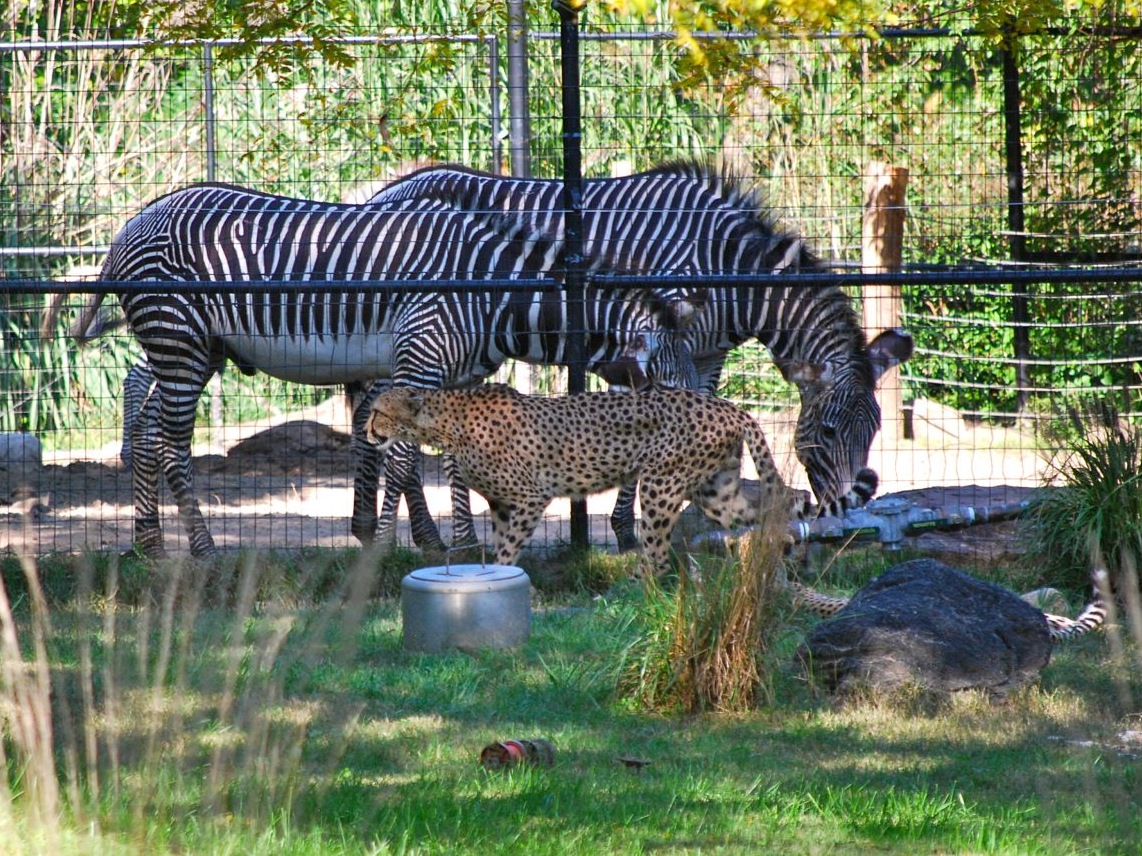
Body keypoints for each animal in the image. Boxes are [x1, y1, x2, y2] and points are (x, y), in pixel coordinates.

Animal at [80, 183, 694, 559]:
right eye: (668, 393)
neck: (491, 292)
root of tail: (133, 222)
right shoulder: (418, 358)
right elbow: (401, 462)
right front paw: (384, 547)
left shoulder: (454, 377)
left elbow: (449, 461)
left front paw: (460, 546)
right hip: (177, 340)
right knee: (169, 442)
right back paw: (204, 550)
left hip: (194, 350)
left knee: (148, 426)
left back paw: (150, 543)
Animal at [360, 160, 913, 550]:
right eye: (828, 431)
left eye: (874, 432)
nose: (846, 509)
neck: (727, 268)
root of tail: (388, 188)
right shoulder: (662, 336)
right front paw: (630, 527)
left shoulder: (706, 353)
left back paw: (404, 533)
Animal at [365, 385, 872, 579]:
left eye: (378, 412)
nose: (367, 430)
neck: (441, 423)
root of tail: (728, 405)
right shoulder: (503, 504)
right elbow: (498, 547)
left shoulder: (530, 497)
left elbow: (508, 549)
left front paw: (505, 575)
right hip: (715, 490)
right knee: (786, 500)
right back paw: (788, 554)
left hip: (660, 484)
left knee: (658, 553)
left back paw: (637, 588)